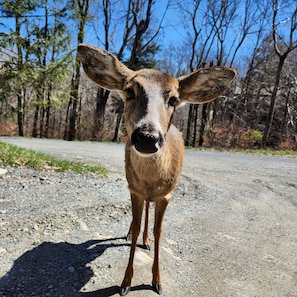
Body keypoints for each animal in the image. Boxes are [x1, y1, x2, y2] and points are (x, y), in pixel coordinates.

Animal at [77, 42, 235, 294]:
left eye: (174, 99)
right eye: (129, 91)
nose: (147, 137)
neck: (152, 179)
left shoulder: (167, 194)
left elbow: (159, 232)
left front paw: (157, 281)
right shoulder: (135, 190)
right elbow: (135, 227)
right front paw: (126, 282)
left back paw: (146, 240)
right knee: (138, 218)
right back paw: (134, 234)